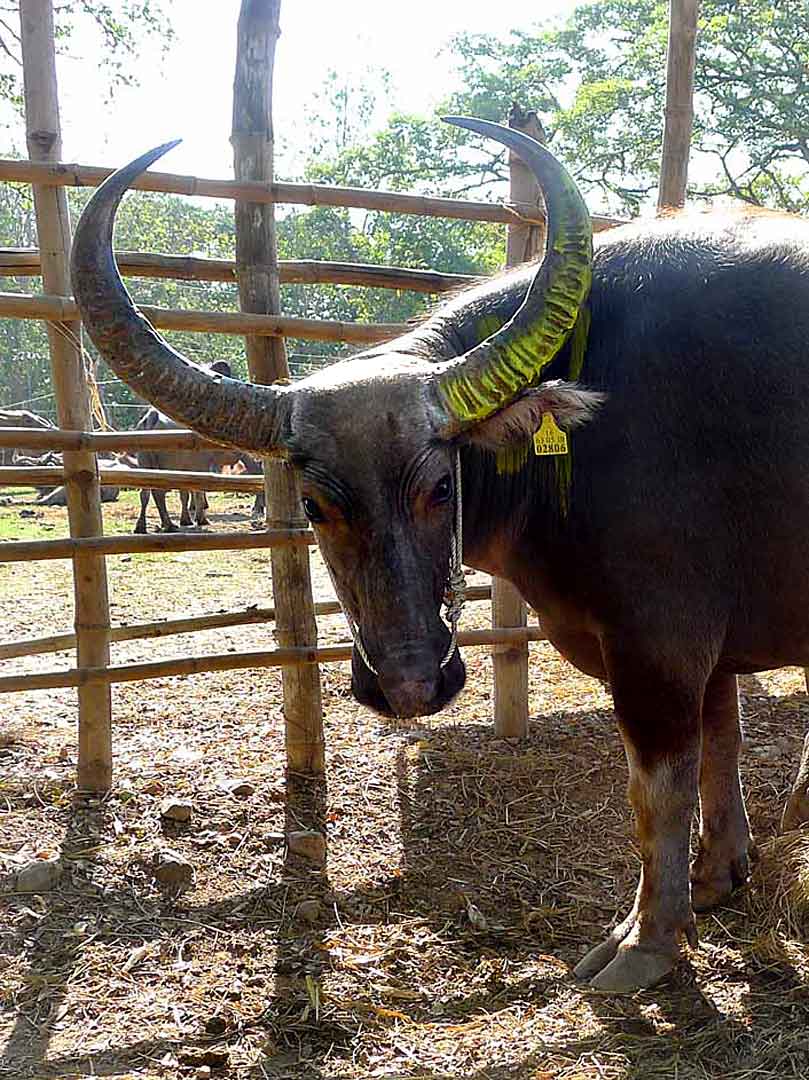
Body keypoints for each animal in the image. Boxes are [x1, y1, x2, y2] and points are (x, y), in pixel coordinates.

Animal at [71, 118, 809, 992]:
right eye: (316, 504)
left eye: (439, 487)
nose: (410, 684)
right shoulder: (708, 655)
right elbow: (720, 749)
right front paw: (715, 878)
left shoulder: (657, 646)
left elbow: (655, 792)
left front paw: (647, 942)